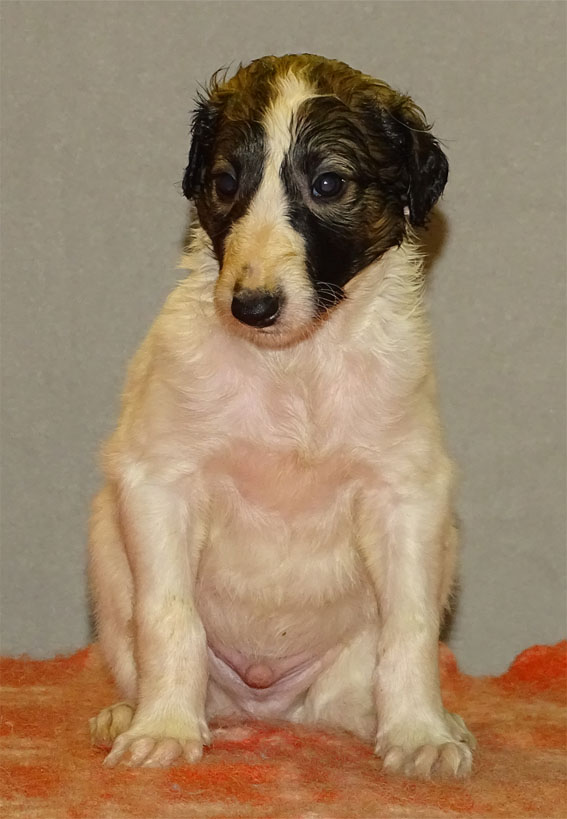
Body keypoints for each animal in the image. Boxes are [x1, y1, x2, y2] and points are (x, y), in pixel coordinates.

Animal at [88, 53, 475, 778]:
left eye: (327, 183)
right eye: (224, 182)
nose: (253, 307)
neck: (295, 368)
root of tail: (266, 704)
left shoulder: (406, 494)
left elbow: (409, 628)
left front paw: (419, 734)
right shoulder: (158, 480)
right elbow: (170, 615)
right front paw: (164, 727)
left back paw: (416, 722)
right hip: (106, 547)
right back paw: (132, 711)